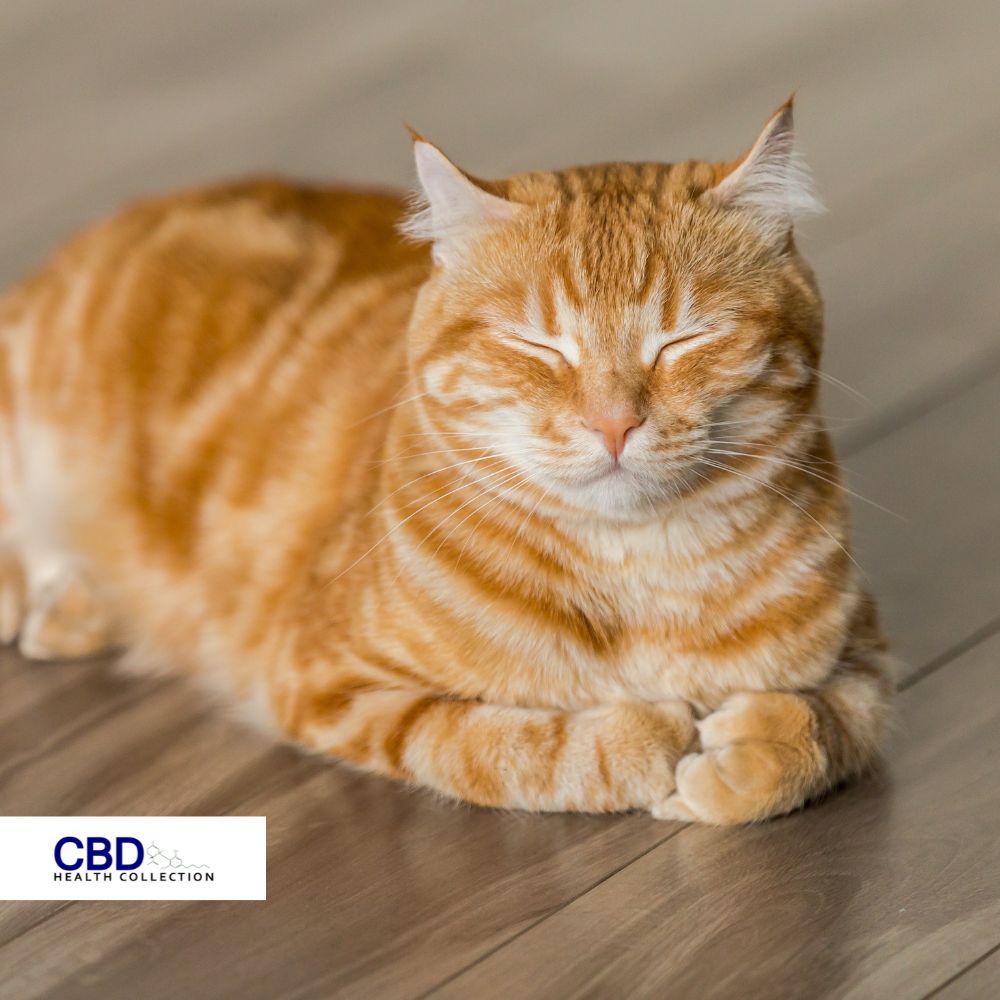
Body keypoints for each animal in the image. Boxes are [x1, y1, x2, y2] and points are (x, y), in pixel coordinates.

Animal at [0, 99, 893, 824]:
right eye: (537, 346)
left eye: (685, 339)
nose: (613, 424)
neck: (636, 574)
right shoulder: (336, 685)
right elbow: (513, 745)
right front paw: (650, 738)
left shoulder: (867, 655)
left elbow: (826, 726)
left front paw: (747, 754)